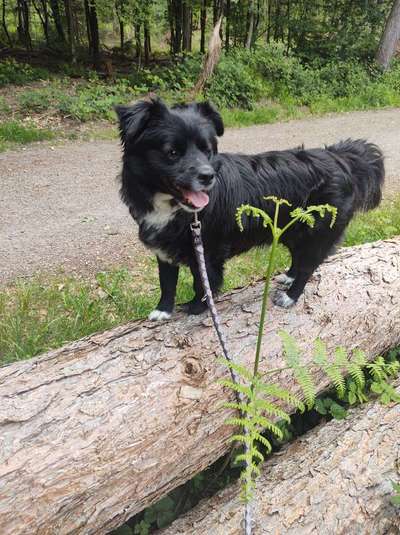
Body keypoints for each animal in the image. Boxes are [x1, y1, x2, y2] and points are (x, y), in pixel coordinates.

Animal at [116, 98, 384, 320]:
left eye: (207, 150)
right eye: (172, 152)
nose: (208, 176)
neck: (172, 206)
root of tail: (340, 158)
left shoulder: (207, 250)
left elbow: (203, 283)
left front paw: (197, 307)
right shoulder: (163, 250)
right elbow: (167, 282)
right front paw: (162, 310)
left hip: (316, 231)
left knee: (308, 265)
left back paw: (291, 296)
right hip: (291, 230)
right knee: (298, 257)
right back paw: (289, 276)